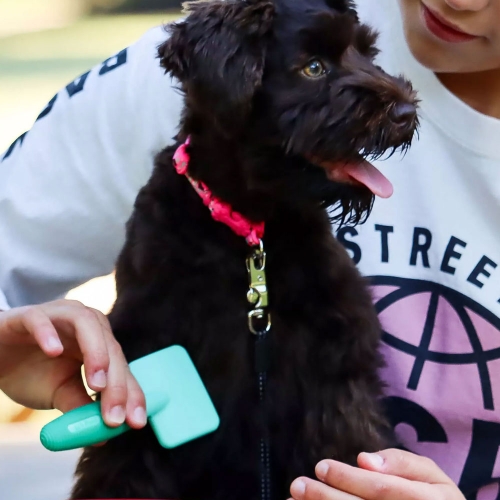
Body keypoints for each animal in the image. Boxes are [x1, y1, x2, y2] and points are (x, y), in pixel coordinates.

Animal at [71, 0, 418, 498]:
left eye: (366, 53)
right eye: (314, 67)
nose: (406, 111)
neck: (250, 233)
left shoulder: (336, 374)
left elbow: (349, 445)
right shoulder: (145, 356)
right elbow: (123, 465)